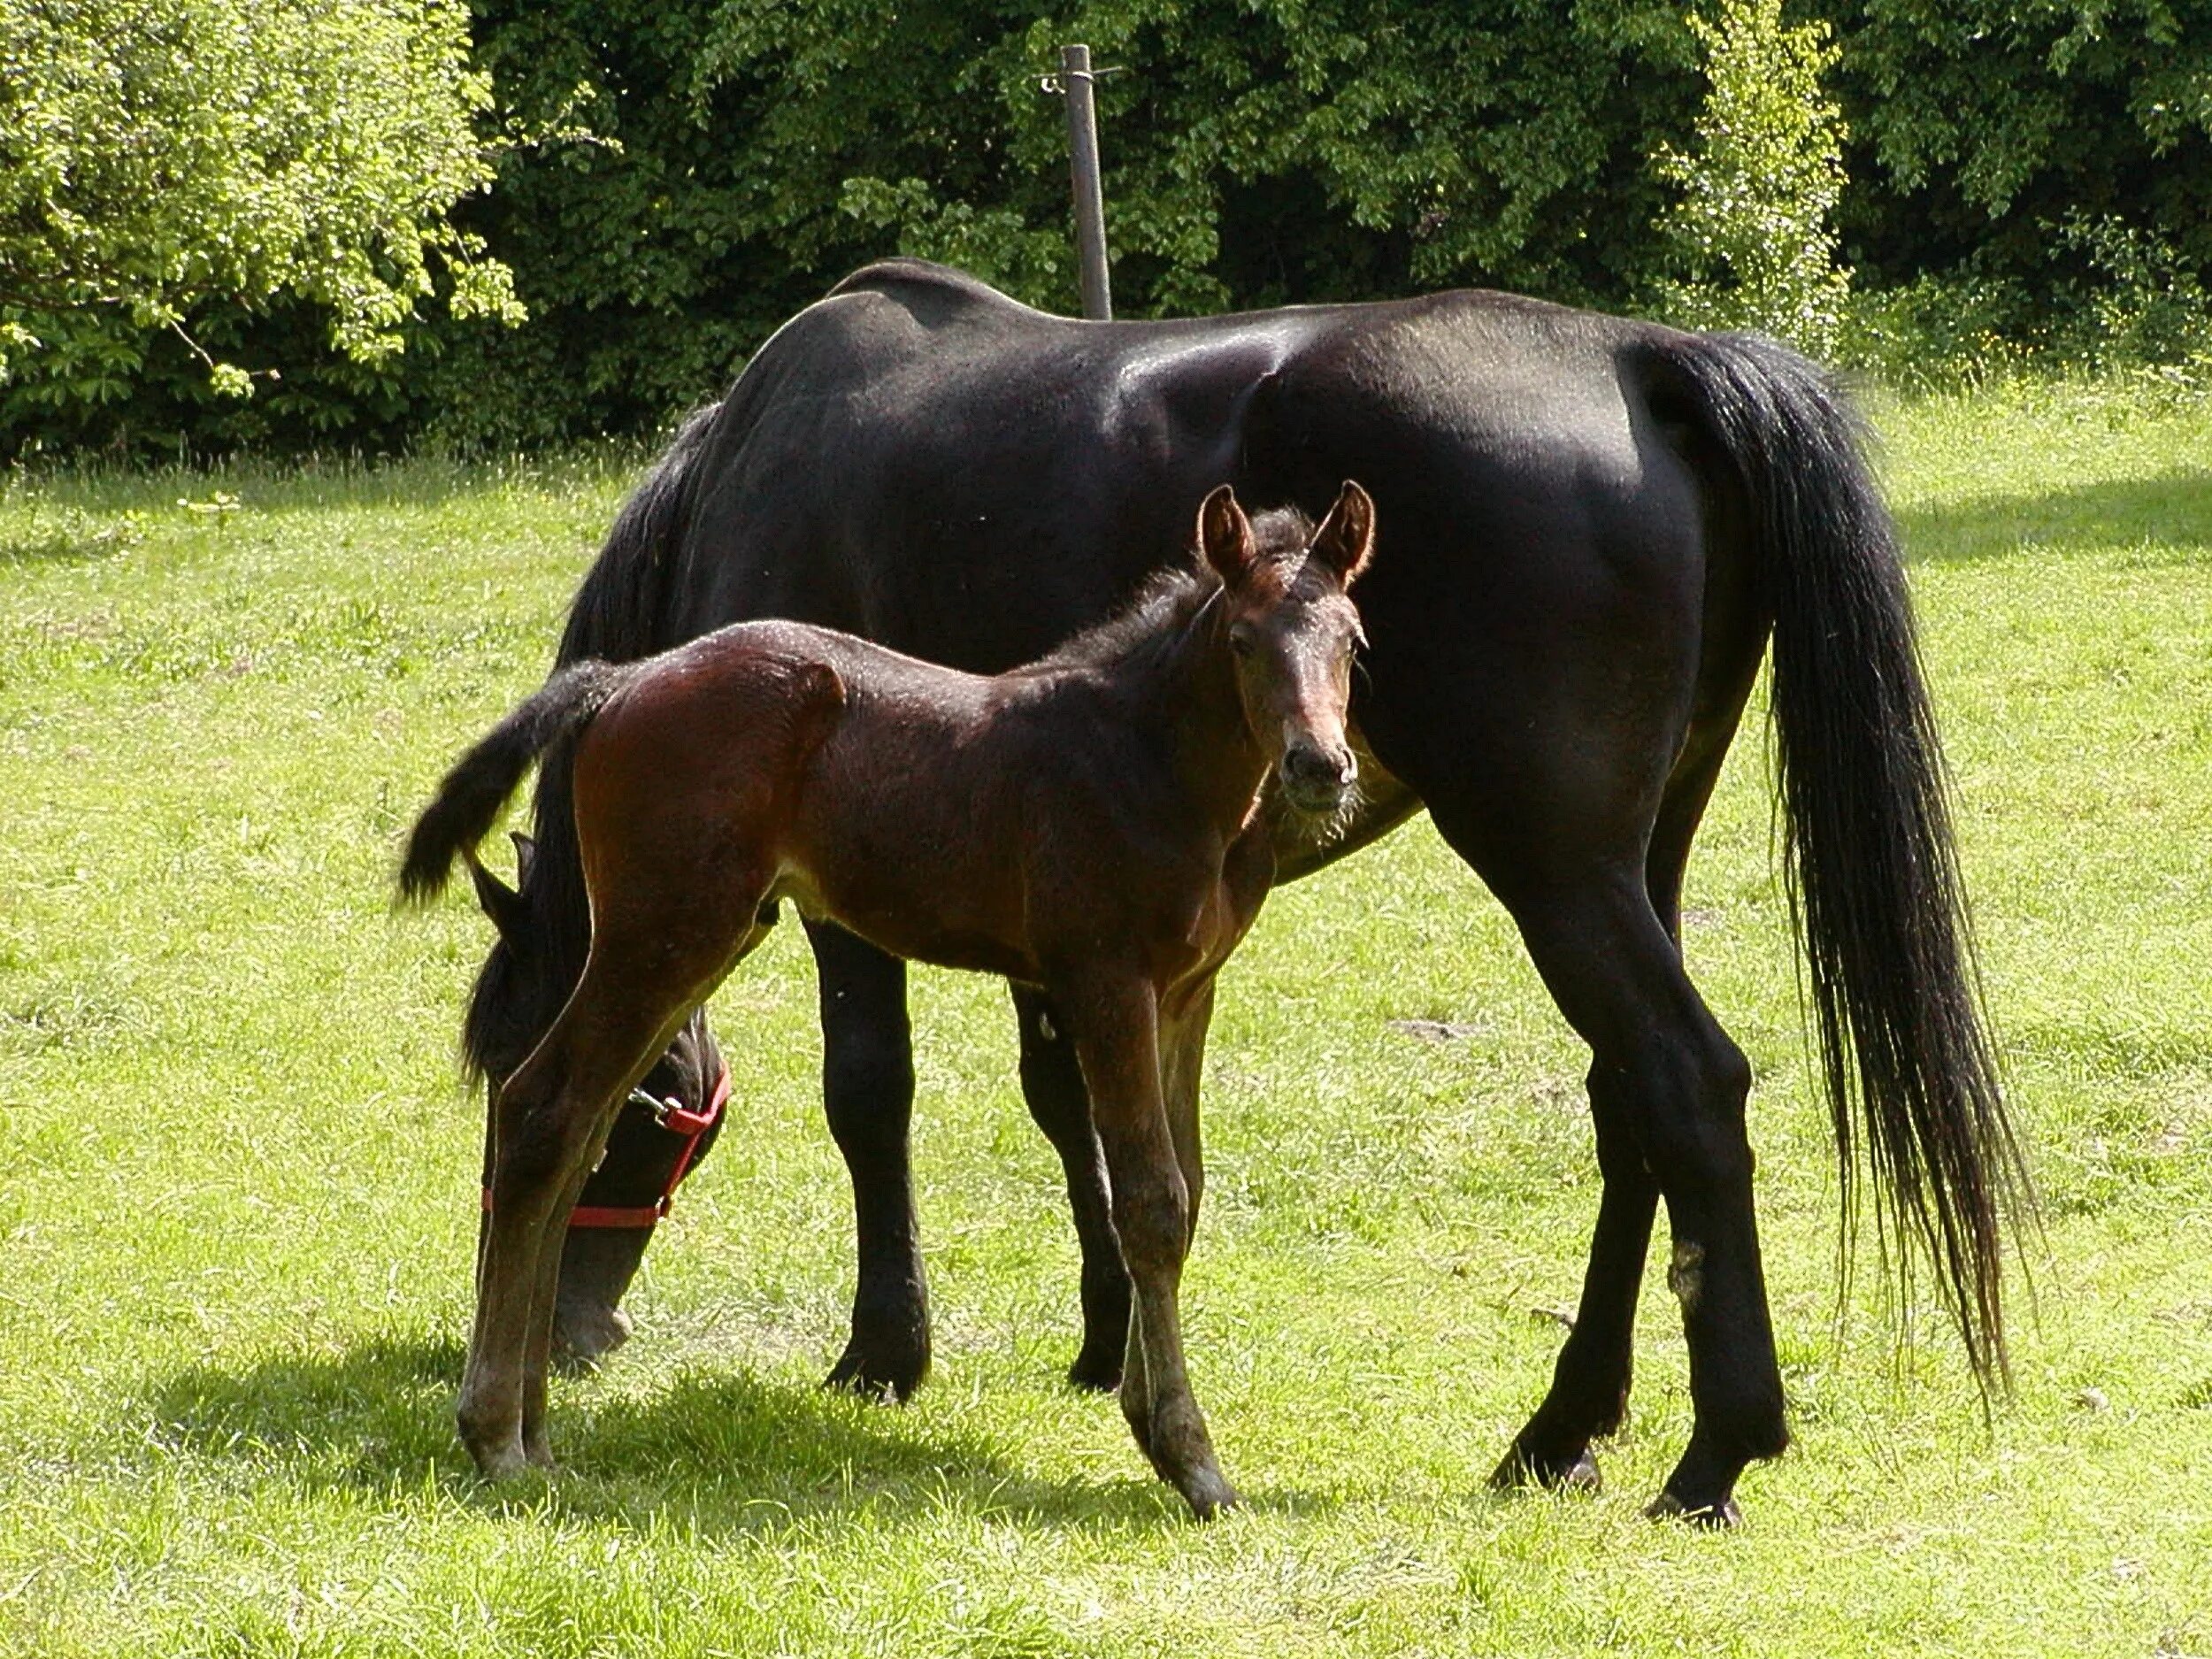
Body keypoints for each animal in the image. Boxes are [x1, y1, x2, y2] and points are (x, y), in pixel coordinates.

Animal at [396, 480, 1363, 1522]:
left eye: (1352, 640)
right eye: (1243, 640)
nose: (1320, 766)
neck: (1147, 758)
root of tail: (621, 680)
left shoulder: (1189, 993)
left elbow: (1185, 1192)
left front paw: (1151, 1421)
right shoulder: (1106, 980)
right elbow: (1146, 1198)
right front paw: (1191, 1460)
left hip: (697, 937)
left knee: (578, 1125)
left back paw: (531, 1430)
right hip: (665, 930)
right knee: (545, 1107)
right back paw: (496, 1435)